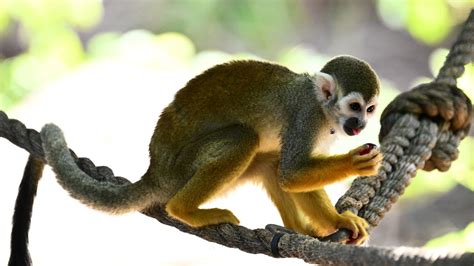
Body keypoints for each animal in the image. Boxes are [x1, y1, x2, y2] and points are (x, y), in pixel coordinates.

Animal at [10, 55, 382, 262]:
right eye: (353, 106)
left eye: (370, 109)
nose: (360, 125)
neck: (324, 110)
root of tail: (156, 171)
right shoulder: (305, 117)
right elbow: (291, 172)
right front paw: (353, 164)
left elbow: (292, 173)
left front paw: (336, 222)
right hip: (182, 168)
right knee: (244, 139)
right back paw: (184, 210)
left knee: (268, 158)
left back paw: (297, 230)